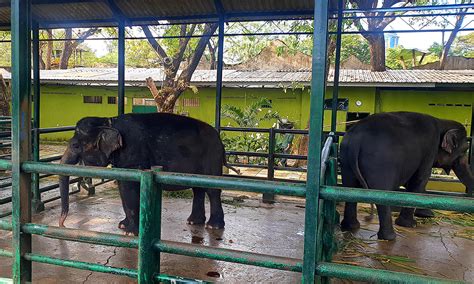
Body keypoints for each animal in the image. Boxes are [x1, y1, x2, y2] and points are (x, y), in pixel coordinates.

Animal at [58, 112, 237, 235]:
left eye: (75, 145)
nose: (62, 224)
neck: (108, 121)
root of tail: (220, 141)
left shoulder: (132, 152)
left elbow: (129, 188)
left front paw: (130, 232)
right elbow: (123, 188)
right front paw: (123, 225)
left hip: (211, 157)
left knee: (212, 190)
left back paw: (213, 226)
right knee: (197, 188)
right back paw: (194, 222)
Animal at [338, 112, 472, 241]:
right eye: (465, 149)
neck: (442, 121)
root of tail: (356, 141)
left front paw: (427, 214)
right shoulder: (429, 150)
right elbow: (420, 180)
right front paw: (411, 224)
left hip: (346, 159)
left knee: (349, 189)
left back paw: (351, 226)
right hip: (379, 163)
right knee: (382, 194)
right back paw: (390, 237)